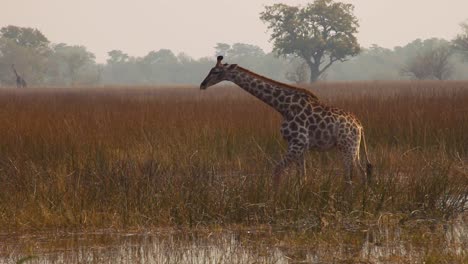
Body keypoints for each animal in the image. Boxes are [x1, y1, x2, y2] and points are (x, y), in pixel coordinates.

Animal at [199, 55, 372, 188]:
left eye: (216, 71)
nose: (202, 84)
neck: (283, 107)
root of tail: (360, 126)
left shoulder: (297, 143)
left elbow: (277, 170)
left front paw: (274, 199)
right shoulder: (299, 146)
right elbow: (302, 177)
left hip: (347, 147)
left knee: (350, 176)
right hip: (352, 148)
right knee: (361, 172)